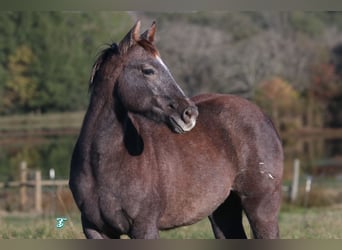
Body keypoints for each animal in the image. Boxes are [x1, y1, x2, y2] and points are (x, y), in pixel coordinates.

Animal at [69, 20, 284, 239]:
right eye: (148, 70)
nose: (189, 114)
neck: (102, 164)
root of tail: (264, 116)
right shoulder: (95, 229)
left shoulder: (144, 227)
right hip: (223, 210)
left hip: (261, 208)